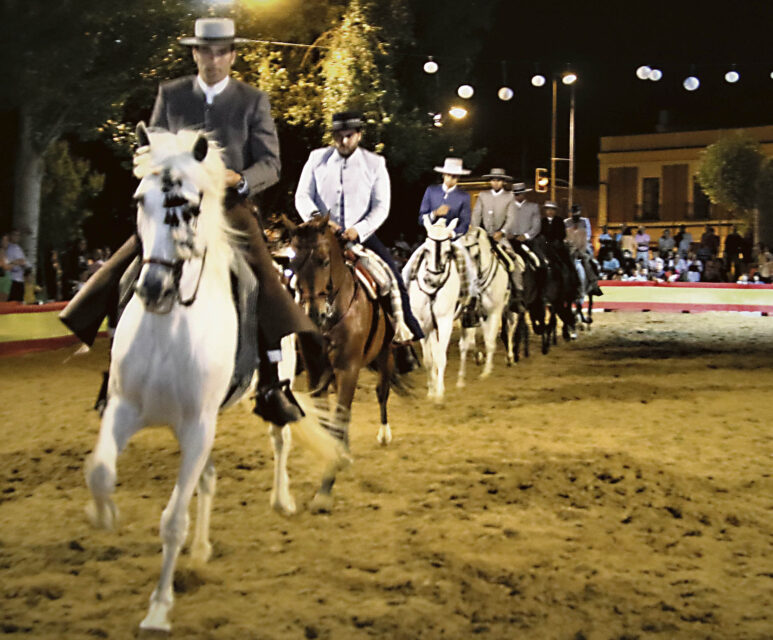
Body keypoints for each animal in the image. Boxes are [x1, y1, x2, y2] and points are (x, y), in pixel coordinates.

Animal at [83, 124, 344, 632]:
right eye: (139, 200)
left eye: (191, 206)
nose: (153, 289)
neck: (168, 324)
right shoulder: (126, 409)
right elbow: (102, 473)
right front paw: (103, 514)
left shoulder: (198, 424)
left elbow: (172, 520)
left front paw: (158, 609)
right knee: (206, 476)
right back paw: (201, 549)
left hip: (271, 388)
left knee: (280, 440)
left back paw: (282, 500)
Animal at [286, 218, 402, 512]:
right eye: (293, 263)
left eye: (324, 261)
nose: (314, 313)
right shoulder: (316, 372)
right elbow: (329, 419)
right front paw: (337, 458)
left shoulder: (348, 368)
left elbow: (340, 418)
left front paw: (325, 489)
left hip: (385, 354)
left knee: (382, 392)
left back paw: (384, 434)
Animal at [404, 218, 458, 402]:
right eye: (426, 249)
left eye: (448, 251)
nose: (432, 281)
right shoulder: (423, 324)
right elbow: (429, 359)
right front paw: (431, 391)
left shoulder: (445, 321)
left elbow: (440, 357)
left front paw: (439, 394)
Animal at [456, 228, 510, 382]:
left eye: (476, 255)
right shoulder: (470, 315)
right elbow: (469, 342)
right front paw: (478, 357)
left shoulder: (494, 311)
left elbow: (490, 341)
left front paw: (486, 371)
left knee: (510, 329)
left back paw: (510, 356)